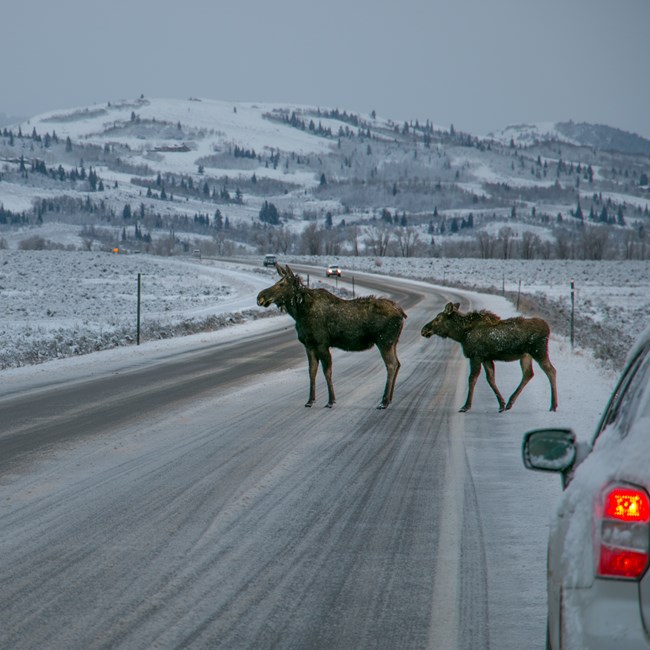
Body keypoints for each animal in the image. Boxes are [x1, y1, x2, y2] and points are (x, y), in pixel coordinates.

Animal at [257, 264, 407, 409]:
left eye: (282, 284)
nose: (260, 297)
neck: (299, 313)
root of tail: (401, 313)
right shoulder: (309, 345)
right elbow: (312, 371)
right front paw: (310, 401)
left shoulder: (322, 343)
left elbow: (327, 372)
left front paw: (331, 401)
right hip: (393, 342)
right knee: (398, 364)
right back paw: (389, 399)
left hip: (384, 341)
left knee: (392, 365)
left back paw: (384, 402)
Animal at [420, 302, 558, 413]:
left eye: (438, 318)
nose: (424, 330)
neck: (461, 334)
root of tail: (548, 328)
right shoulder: (486, 357)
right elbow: (491, 379)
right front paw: (501, 404)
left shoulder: (476, 355)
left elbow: (472, 378)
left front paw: (466, 406)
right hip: (526, 356)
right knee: (528, 374)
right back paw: (510, 403)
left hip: (539, 351)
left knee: (551, 370)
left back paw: (553, 405)